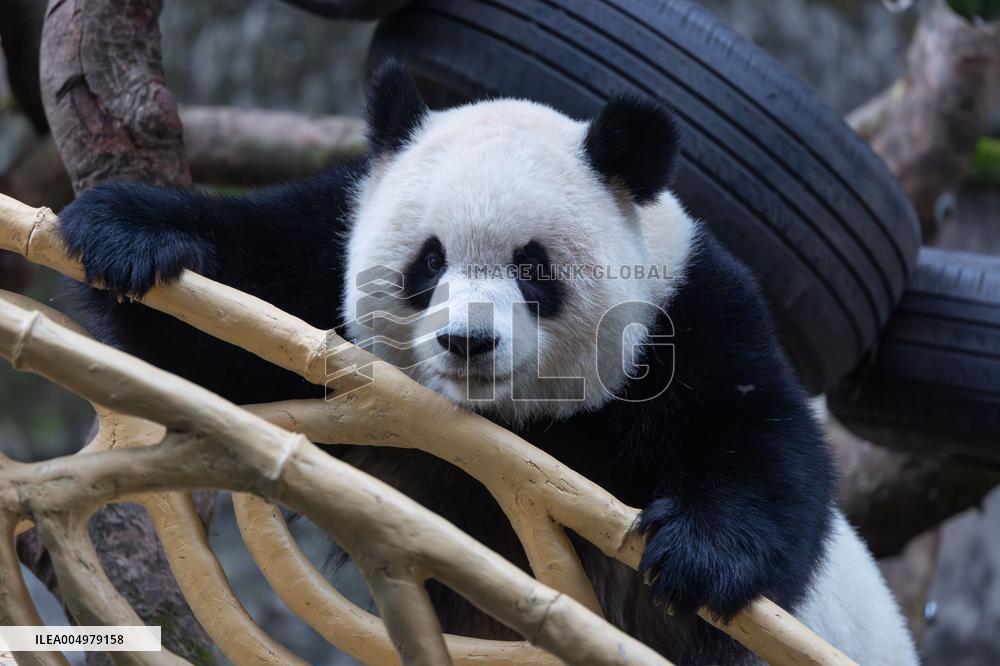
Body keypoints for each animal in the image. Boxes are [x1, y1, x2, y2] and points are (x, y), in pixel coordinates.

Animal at [59, 61, 918, 665]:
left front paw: (696, 559)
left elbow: (757, 437)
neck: (511, 421)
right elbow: (230, 323)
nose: (467, 341)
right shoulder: (320, 261)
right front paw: (128, 235)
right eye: (428, 261)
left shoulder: (690, 314)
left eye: (533, 267)